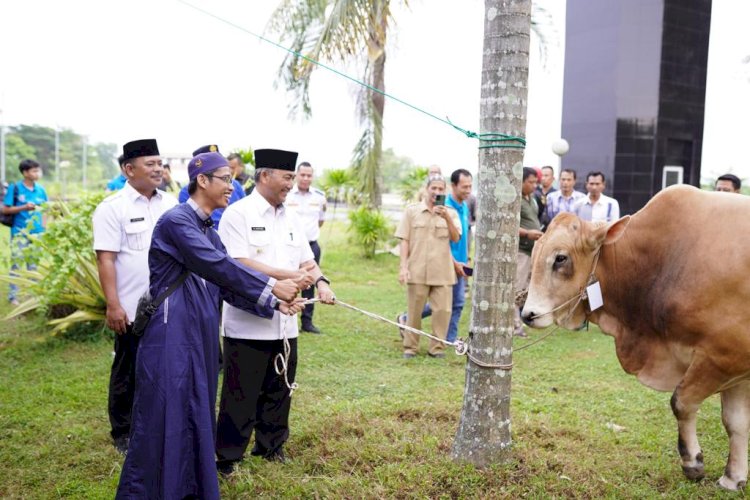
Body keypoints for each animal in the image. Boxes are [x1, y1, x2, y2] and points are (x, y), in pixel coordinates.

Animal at [524, 186, 750, 490]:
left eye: (560, 258)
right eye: (535, 251)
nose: (528, 314)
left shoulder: (723, 355)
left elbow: (682, 402)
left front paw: (692, 462)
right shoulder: (735, 371)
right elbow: (735, 422)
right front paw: (733, 478)